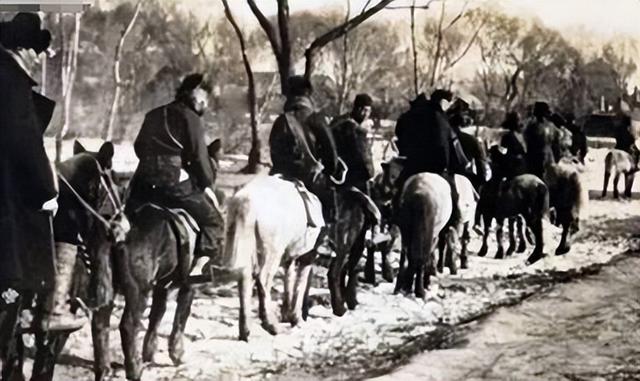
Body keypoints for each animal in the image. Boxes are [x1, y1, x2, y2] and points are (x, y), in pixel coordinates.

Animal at [221, 174, 322, 338]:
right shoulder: (308, 253)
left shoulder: (290, 255)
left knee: (244, 278)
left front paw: (287, 315)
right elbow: (300, 283)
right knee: (263, 279)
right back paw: (271, 325)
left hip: (240, 239)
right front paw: (296, 319)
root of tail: (247, 203)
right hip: (272, 248)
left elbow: (289, 278)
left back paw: (246, 331)